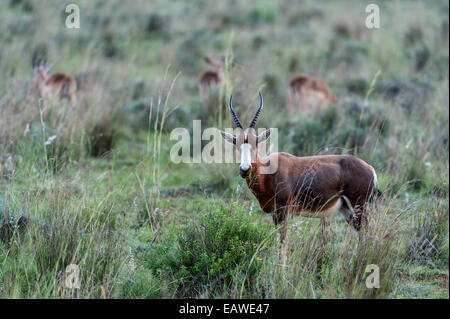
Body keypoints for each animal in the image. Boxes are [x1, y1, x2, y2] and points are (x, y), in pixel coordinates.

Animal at [221, 92, 380, 245]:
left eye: (255, 144)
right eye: (236, 144)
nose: (245, 169)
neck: (269, 171)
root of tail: (370, 168)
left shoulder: (283, 210)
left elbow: (282, 241)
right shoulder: (275, 213)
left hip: (358, 205)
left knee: (366, 232)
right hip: (346, 208)